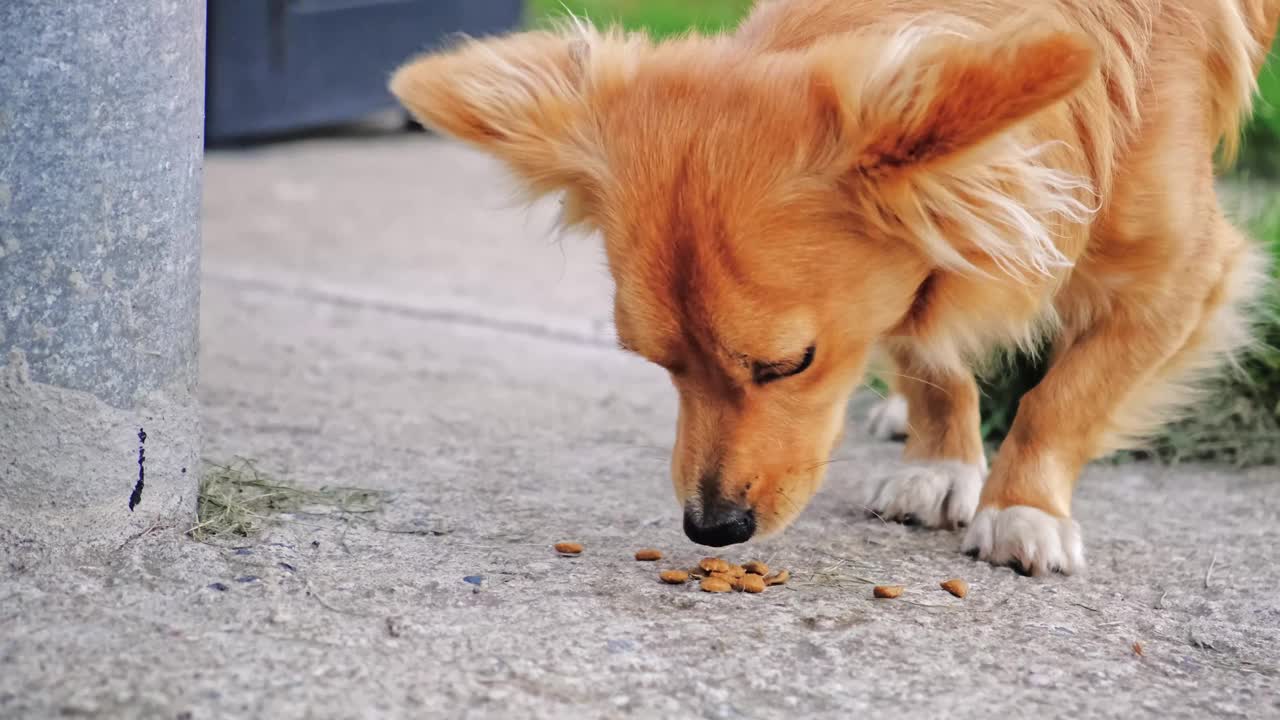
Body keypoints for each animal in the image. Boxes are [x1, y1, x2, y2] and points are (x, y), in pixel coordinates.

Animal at [389, 0, 1280, 571]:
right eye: (659, 364)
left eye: (789, 364)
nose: (712, 530)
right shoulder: (912, 281)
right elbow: (926, 349)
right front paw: (941, 459)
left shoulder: (1185, 278)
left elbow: (1064, 399)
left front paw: (1022, 505)